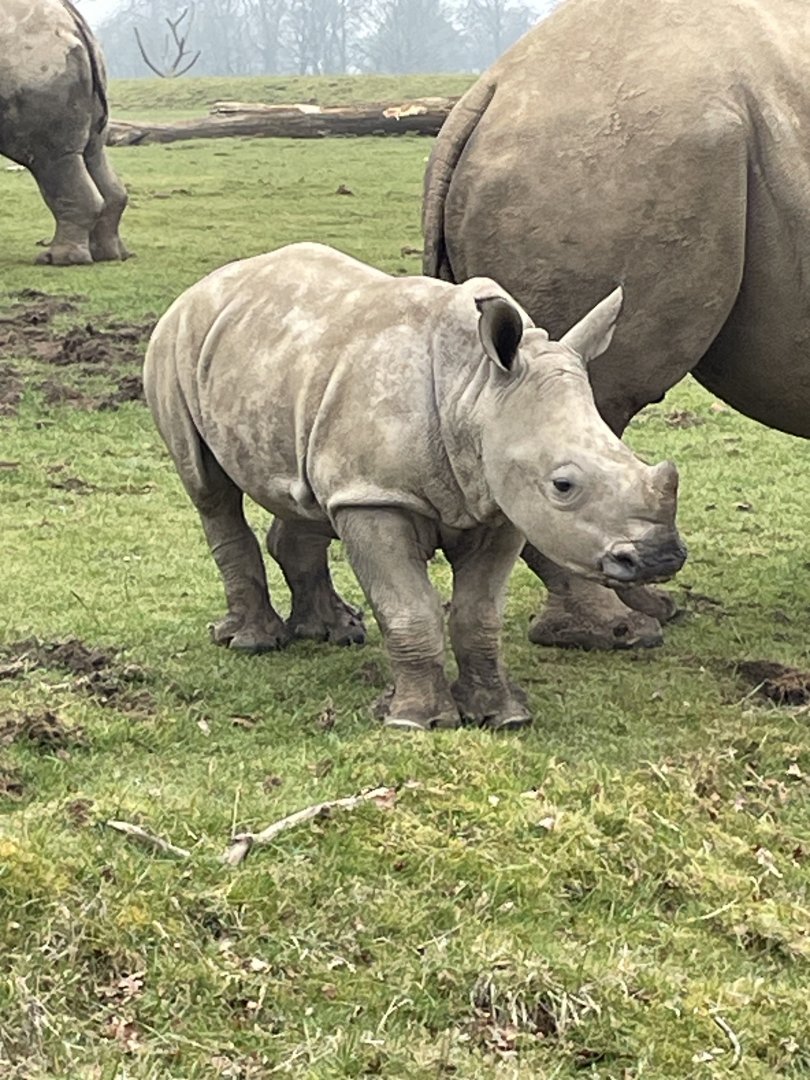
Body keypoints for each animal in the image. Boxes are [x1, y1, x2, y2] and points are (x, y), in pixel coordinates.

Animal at [0, 0, 128, 264]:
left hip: (35, 60)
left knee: (50, 157)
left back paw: (58, 259)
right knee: (93, 153)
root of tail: (71, 18)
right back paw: (107, 255)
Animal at [144, 242, 685, 731]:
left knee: (308, 495)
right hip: (174, 344)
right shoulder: (377, 497)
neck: (477, 390)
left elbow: (478, 615)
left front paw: (503, 716)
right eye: (563, 485)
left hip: (292, 374)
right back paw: (253, 642)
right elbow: (408, 608)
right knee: (209, 490)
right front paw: (415, 722)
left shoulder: (499, 504)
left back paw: (333, 632)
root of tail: (205, 285)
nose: (661, 556)